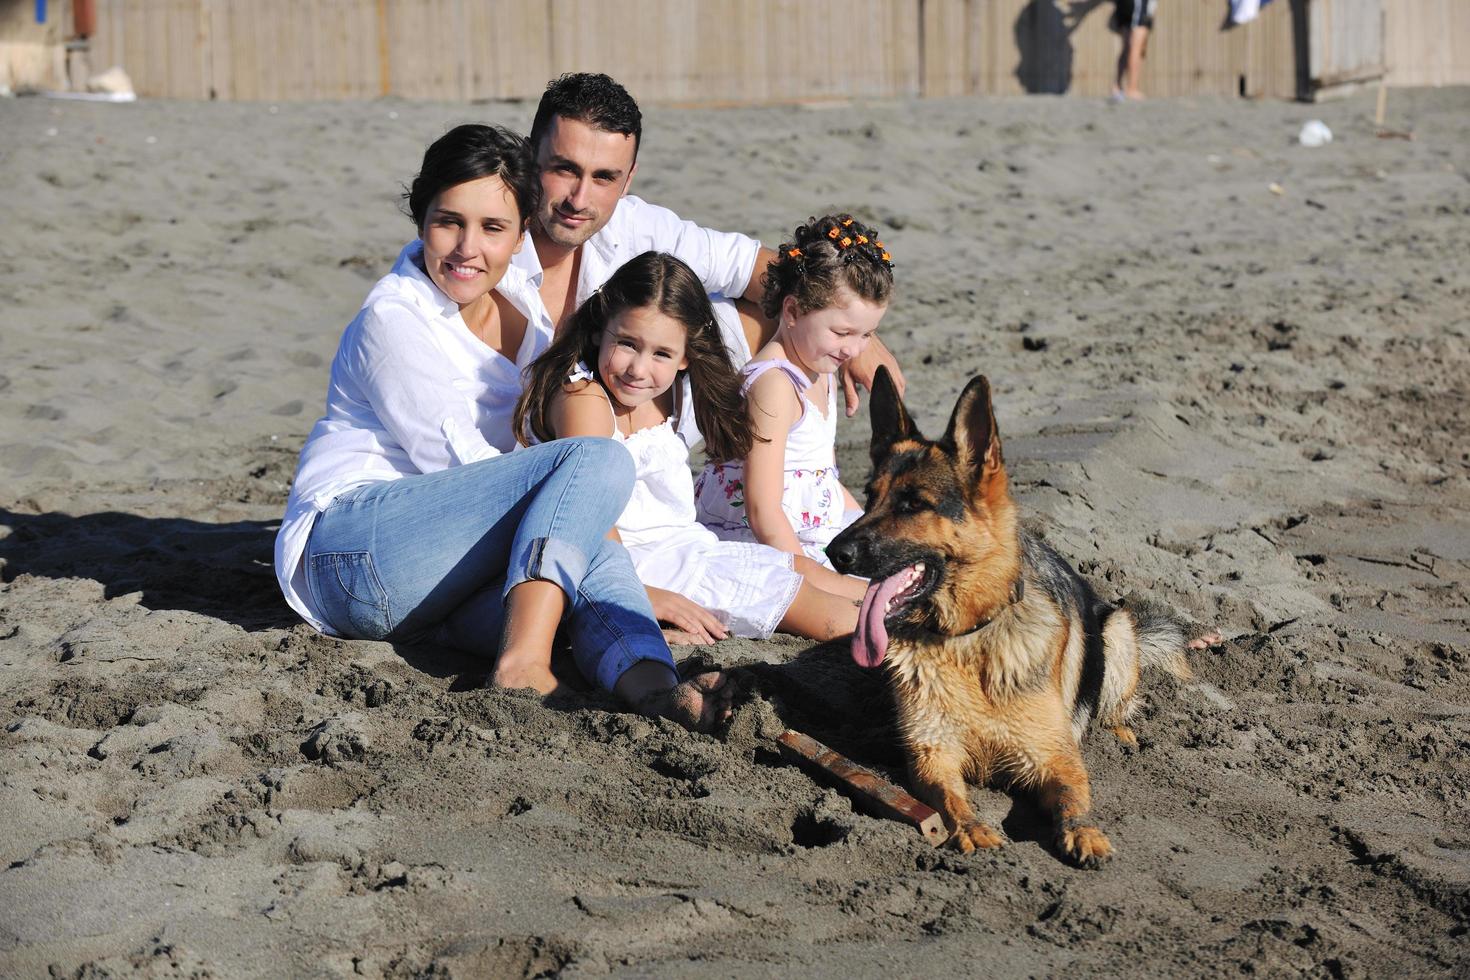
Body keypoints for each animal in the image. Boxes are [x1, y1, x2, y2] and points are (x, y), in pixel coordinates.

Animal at [829, 367, 1217, 863]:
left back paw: (1122, 735)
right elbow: (951, 799)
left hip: (1116, 631)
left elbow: (1074, 798)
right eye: (870, 496)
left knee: (1115, 703)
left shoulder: (1056, 757)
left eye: (914, 503)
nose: (833, 553)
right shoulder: (933, 756)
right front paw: (971, 827)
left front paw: (1084, 831)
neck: (966, 639)